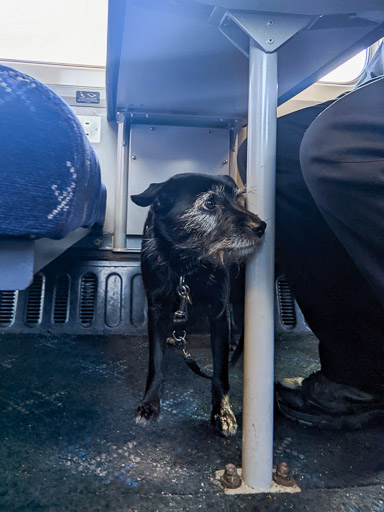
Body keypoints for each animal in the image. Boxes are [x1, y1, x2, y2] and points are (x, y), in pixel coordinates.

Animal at [130, 172, 266, 436]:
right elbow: (156, 362)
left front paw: (222, 412)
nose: (261, 226)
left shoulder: (218, 311)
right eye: (210, 203)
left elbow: (220, 371)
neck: (187, 264)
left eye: (237, 198)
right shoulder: (156, 309)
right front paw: (149, 403)